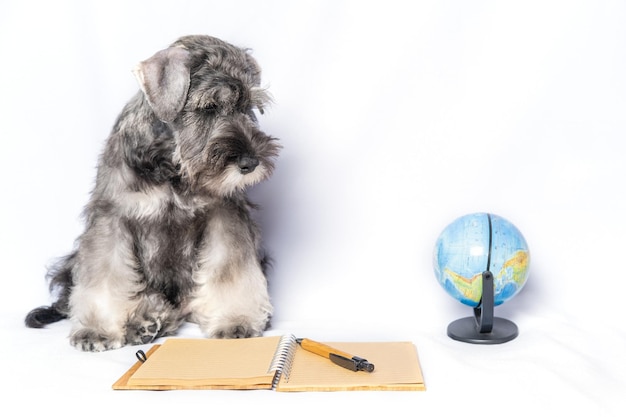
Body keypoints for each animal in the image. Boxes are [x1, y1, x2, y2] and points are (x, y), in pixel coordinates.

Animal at [24, 35, 278, 352]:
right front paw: (96, 329)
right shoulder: (112, 219)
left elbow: (229, 270)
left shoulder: (224, 217)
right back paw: (146, 320)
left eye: (249, 108)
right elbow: (105, 275)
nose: (251, 162)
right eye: (209, 107)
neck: (172, 166)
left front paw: (235, 320)